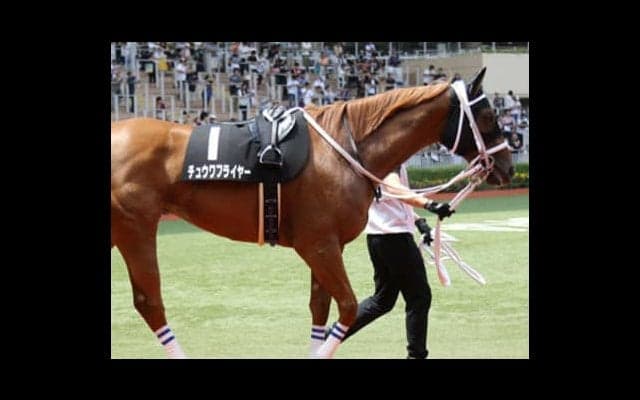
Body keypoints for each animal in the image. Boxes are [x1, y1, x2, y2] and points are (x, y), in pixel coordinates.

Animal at [111, 67, 514, 358]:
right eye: (488, 114)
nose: (508, 166)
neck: (344, 150)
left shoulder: (325, 245)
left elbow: (320, 309)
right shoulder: (319, 245)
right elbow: (347, 308)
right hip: (135, 229)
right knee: (150, 303)